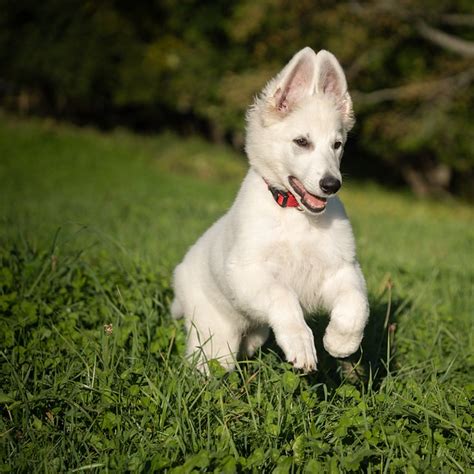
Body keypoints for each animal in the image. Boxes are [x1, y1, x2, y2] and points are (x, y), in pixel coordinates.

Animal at [172, 48, 368, 374]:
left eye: (337, 145)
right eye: (302, 142)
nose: (332, 185)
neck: (296, 215)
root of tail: (180, 273)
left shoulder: (341, 269)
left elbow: (355, 305)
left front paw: (341, 342)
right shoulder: (249, 273)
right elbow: (283, 297)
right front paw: (300, 343)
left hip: (254, 332)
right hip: (216, 341)